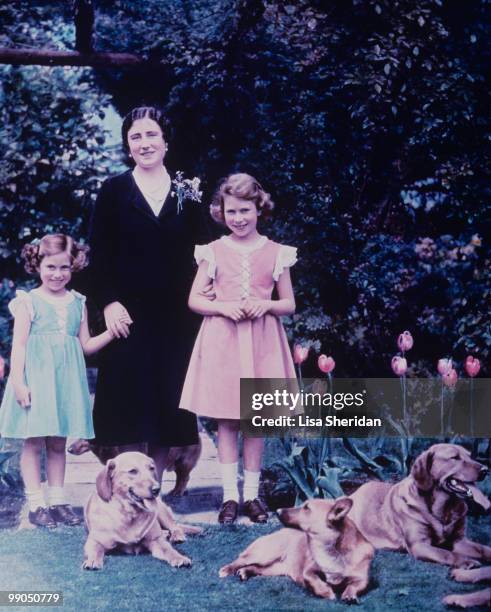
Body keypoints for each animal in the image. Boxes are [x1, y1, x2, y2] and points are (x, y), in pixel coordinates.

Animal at [219, 498, 372, 604]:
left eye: (306, 508)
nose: (277, 511)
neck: (330, 548)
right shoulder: (309, 570)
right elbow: (312, 579)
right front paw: (325, 592)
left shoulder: (362, 580)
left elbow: (354, 586)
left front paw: (349, 595)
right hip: (264, 554)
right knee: (241, 560)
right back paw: (227, 569)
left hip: (274, 568)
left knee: (255, 568)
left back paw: (245, 572)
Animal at [350, 444, 491, 568]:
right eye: (455, 457)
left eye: (470, 456)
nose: (485, 470)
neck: (445, 509)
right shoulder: (419, 545)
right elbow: (446, 554)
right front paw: (466, 561)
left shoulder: (459, 540)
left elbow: (482, 548)